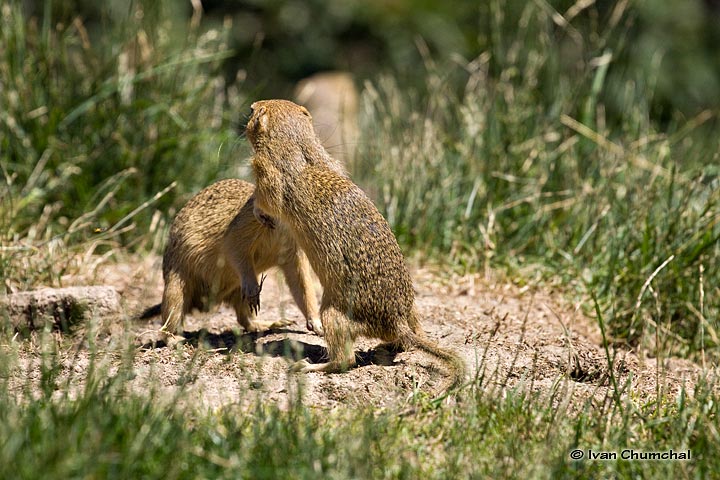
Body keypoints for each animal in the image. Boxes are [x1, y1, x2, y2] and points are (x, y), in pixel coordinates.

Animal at [143, 178, 324, 340]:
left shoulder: (294, 250)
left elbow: (302, 284)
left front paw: (317, 324)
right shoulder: (246, 222)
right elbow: (233, 246)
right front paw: (252, 288)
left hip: (236, 291)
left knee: (245, 319)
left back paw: (271, 323)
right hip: (175, 284)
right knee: (168, 322)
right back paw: (176, 339)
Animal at [245, 99, 464, 392]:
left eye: (252, 110)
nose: (251, 108)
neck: (299, 146)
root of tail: (397, 322)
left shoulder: (267, 174)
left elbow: (265, 199)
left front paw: (259, 212)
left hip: (331, 313)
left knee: (345, 360)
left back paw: (307, 366)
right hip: (409, 311)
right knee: (407, 340)